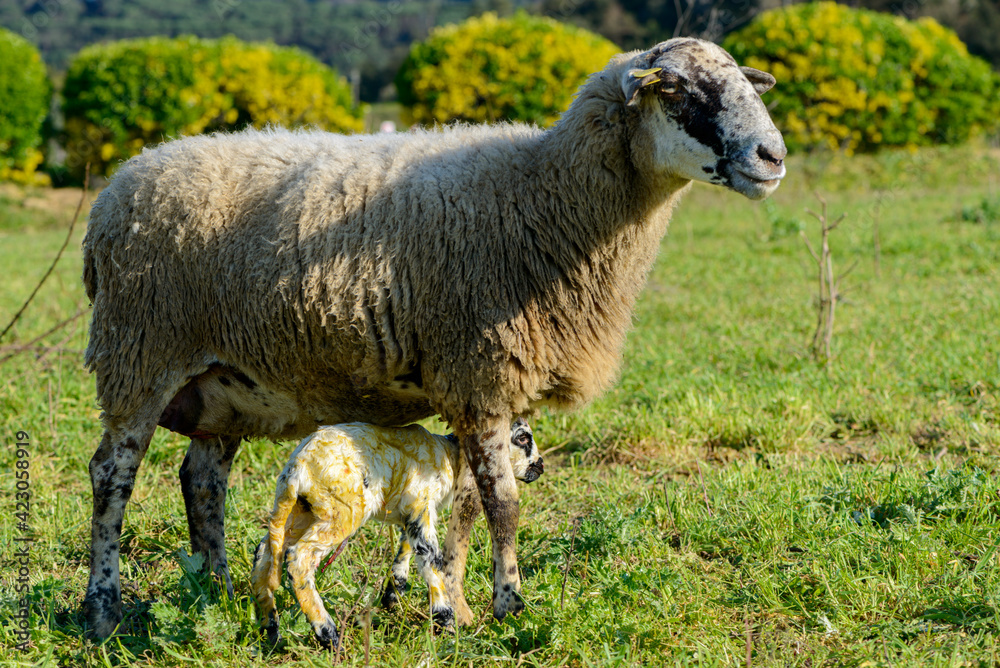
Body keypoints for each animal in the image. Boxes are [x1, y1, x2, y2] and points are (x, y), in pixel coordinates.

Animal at [84, 35, 788, 636]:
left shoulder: (502, 384)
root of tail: (117, 187)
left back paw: (221, 595)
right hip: (140, 352)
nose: (773, 157)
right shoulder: (479, 371)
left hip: (220, 386)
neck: (545, 195)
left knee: (202, 482)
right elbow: (503, 502)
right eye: (679, 90)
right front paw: (508, 607)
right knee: (110, 478)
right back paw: (104, 611)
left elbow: (472, 503)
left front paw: (448, 598)